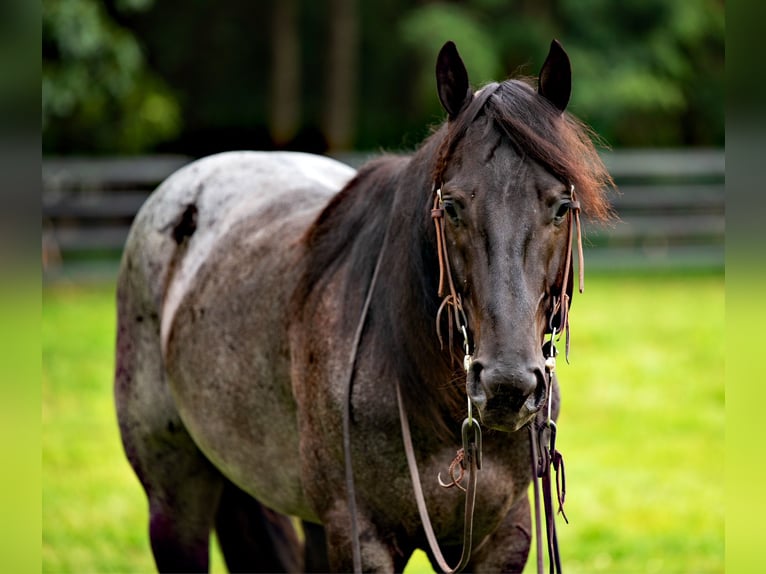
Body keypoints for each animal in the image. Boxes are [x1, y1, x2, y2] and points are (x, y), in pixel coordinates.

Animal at [114, 38, 612, 572]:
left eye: (561, 207)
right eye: (452, 207)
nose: (507, 387)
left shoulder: (504, 538)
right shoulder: (361, 535)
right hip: (175, 498)